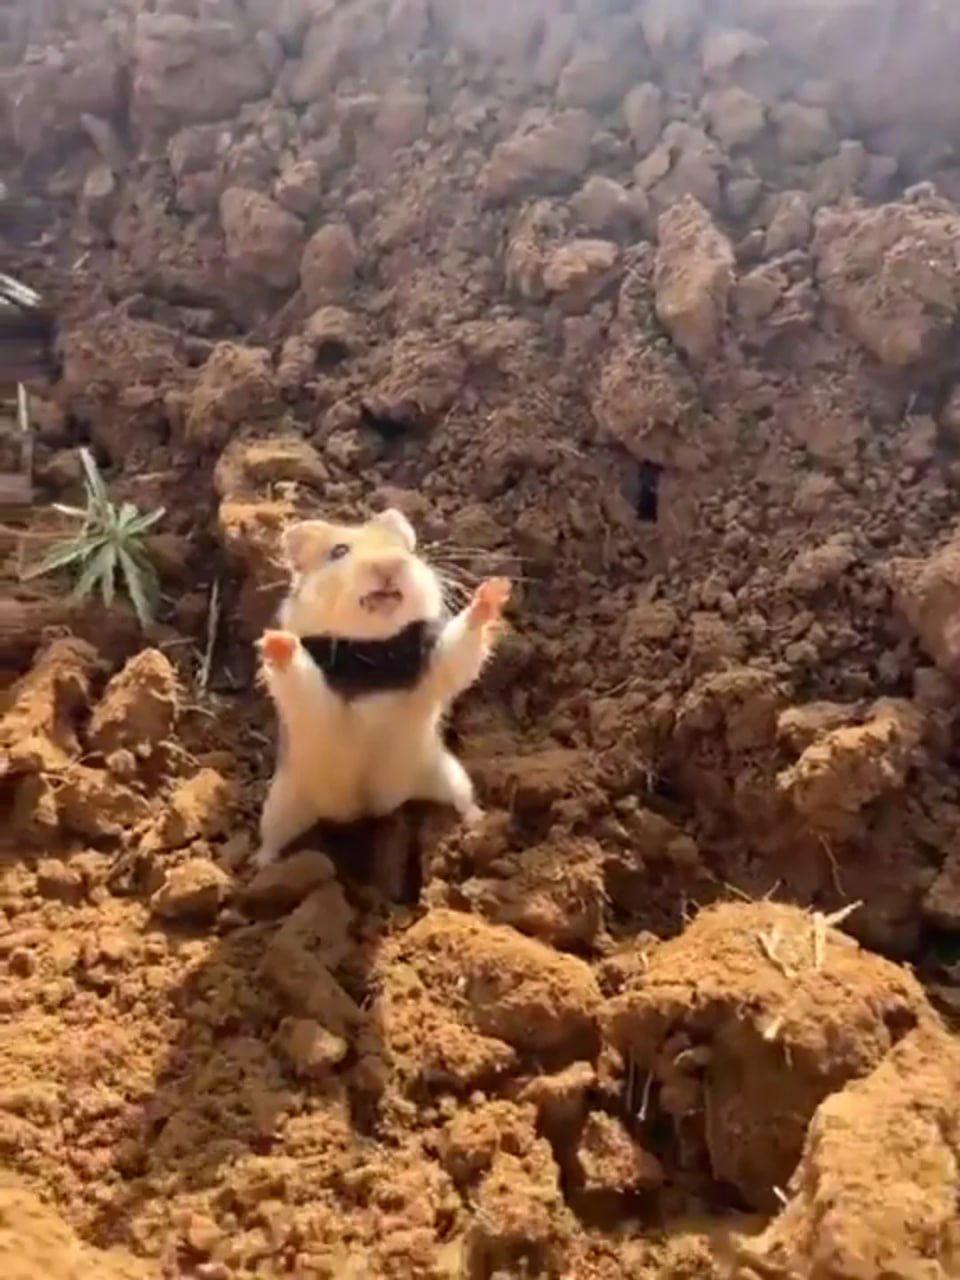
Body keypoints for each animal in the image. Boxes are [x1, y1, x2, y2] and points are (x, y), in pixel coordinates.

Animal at [252, 506, 511, 868]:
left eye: (406, 548)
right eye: (339, 551)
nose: (390, 564)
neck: (375, 649)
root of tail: (365, 809)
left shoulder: (435, 667)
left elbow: (459, 649)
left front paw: (494, 590)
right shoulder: (319, 701)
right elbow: (301, 678)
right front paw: (275, 642)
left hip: (444, 772)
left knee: (462, 799)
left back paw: (478, 822)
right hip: (281, 802)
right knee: (272, 839)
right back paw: (259, 865)